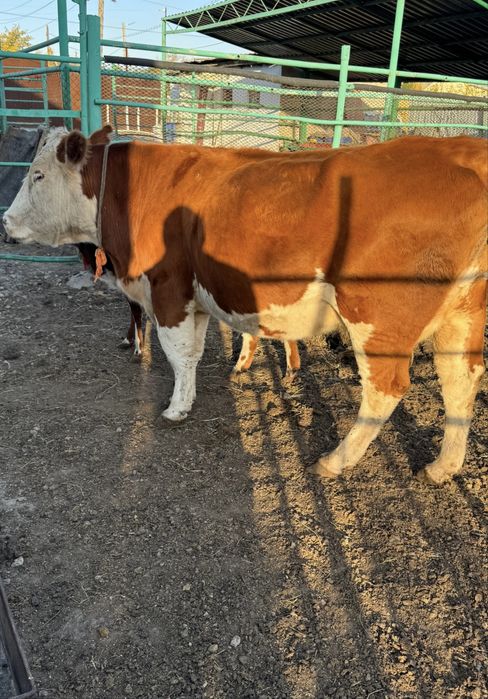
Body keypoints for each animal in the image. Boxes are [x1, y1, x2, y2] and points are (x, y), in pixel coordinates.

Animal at [3, 127, 486, 484]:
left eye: (38, 175)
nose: (5, 222)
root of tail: (462, 149)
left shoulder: (167, 287)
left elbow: (176, 353)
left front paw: (176, 409)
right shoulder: (196, 296)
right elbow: (193, 353)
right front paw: (192, 395)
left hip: (378, 315)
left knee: (386, 388)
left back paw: (335, 460)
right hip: (462, 313)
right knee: (460, 379)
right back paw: (443, 466)